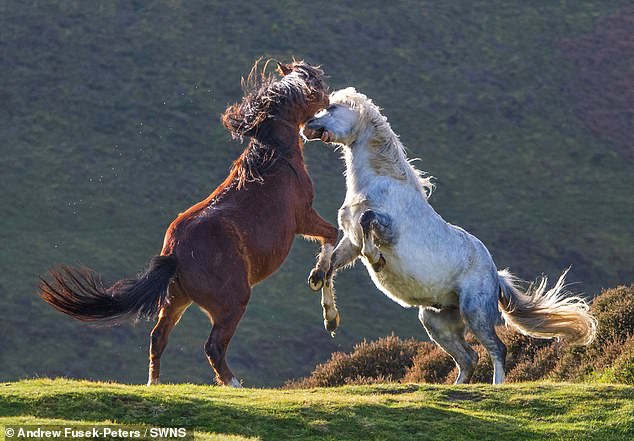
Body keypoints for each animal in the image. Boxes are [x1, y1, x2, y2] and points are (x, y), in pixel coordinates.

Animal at [39, 60, 336, 386]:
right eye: (317, 84)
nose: (329, 104)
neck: (275, 157)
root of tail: (174, 255)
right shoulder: (303, 218)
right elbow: (332, 237)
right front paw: (323, 293)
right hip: (233, 300)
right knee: (213, 346)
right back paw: (233, 384)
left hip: (175, 300)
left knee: (158, 337)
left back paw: (154, 384)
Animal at [304, 87, 596, 382]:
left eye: (333, 107)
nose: (307, 126)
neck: (378, 183)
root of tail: (496, 275)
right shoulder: (351, 241)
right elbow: (329, 268)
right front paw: (329, 315)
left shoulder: (387, 231)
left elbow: (367, 223)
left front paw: (377, 261)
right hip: (436, 320)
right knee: (469, 357)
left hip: (475, 311)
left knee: (497, 349)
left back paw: (495, 386)